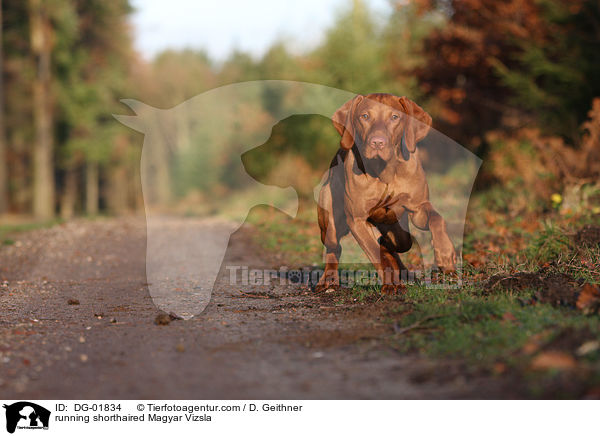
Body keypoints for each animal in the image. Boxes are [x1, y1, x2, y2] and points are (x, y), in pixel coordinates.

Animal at [316, 93, 458, 294]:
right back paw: (328, 280)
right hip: (330, 218)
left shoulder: (418, 209)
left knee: (398, 243)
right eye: (365, 116)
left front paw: (446, 256)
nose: (377, 142)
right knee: (333, 247)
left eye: (395, 117)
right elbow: (376, 255)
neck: (384, 171)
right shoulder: (357, 220)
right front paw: (390, 284)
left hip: (394, 223)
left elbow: (437, 219)